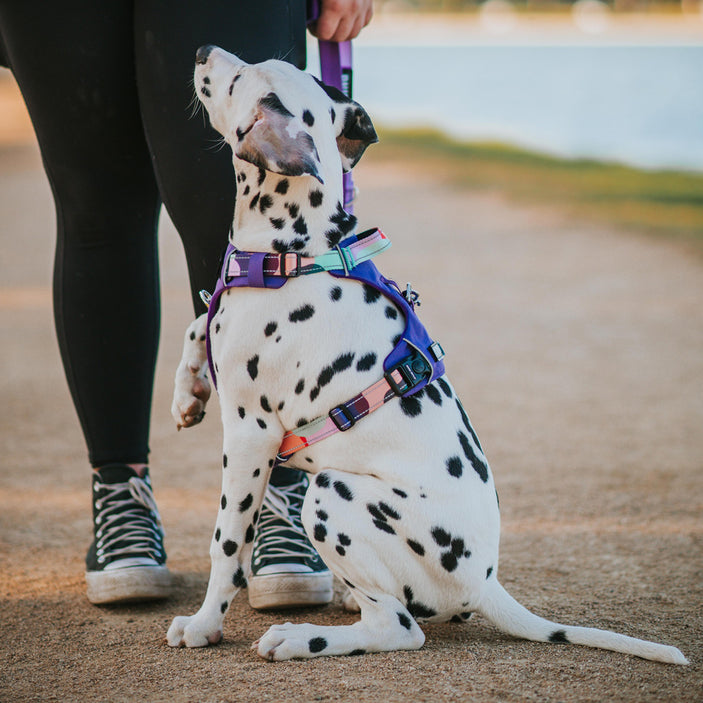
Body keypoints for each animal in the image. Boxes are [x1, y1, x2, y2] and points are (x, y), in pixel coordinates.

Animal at [166, 45, 688, 664]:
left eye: (242, 75)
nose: (203, 51)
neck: (294, 252)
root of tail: (485, 583)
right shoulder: (222, 327)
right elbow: (198, 321)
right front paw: (187, 391)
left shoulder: (250, 434)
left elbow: (225, 545)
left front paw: (204, 624)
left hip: (331, 495)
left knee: (396, 625)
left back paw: (301, 637)